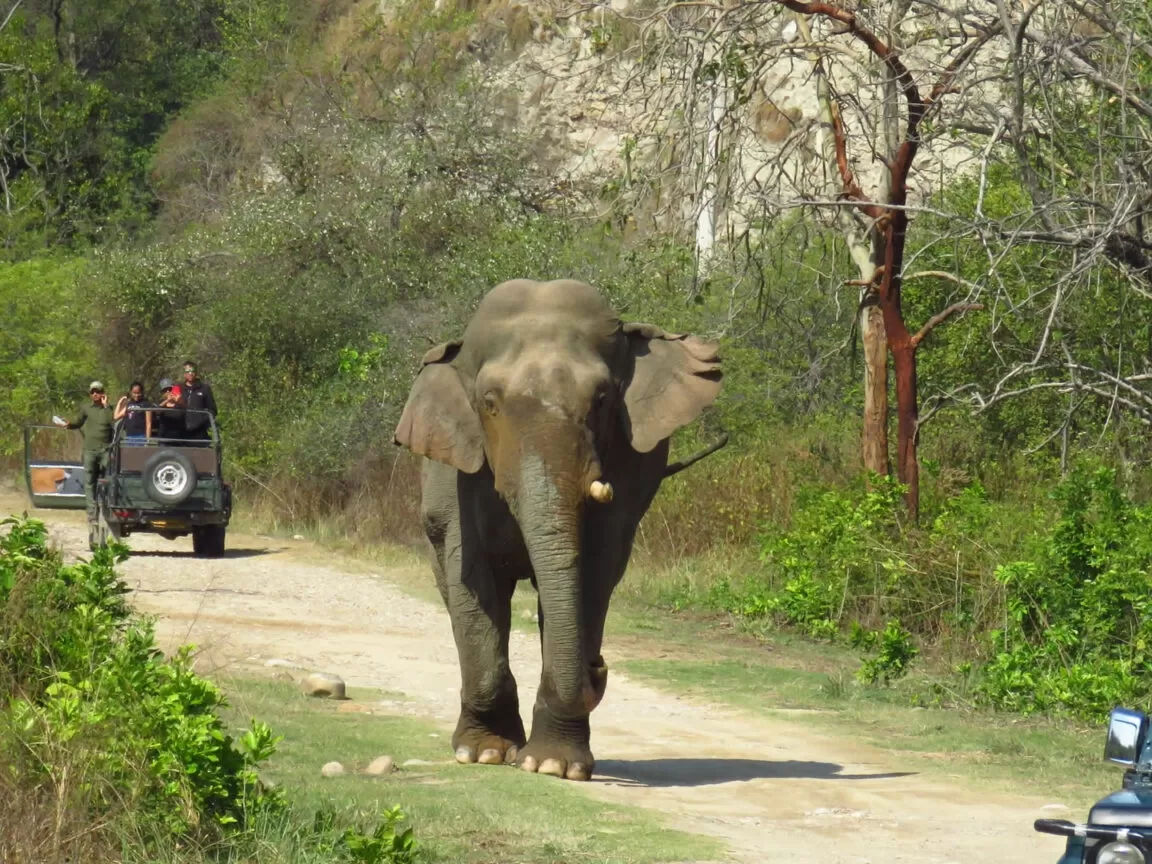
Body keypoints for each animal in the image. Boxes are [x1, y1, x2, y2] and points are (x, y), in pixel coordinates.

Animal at [392, 278, 723, 782]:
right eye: (489, 405)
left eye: (603, 401)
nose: (599, 665)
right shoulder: (456, 479)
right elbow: (472, 577)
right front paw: (484, 754)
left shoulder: (631, 465)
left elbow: (592, 575)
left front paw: (552, 766)